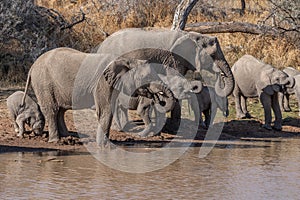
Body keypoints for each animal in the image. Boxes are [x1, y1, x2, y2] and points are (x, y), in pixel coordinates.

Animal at [22, 47, 197, 143]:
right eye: (146, 78)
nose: (156, 97)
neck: (126, 60)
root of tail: (32, 67)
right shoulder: (102, 83)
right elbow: (105, 111)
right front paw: (104, 147)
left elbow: (110, 110)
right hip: (43, 83)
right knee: (52, 110)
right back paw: (57, 140)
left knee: (61, 110)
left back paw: (69, 137)